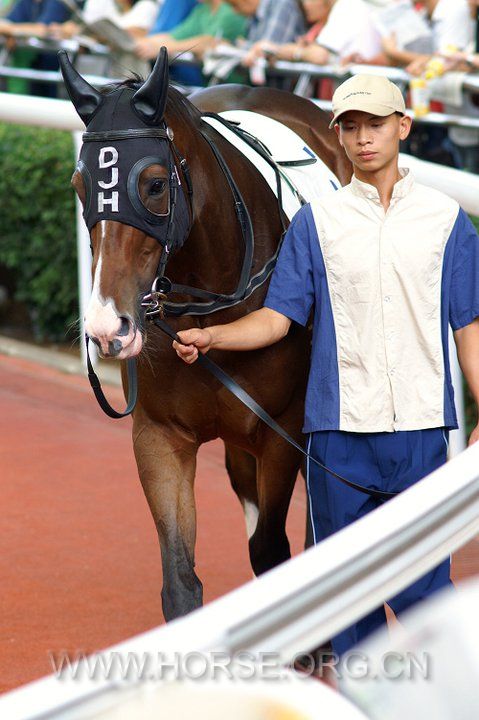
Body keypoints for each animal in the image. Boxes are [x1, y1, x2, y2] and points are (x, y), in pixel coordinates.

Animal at [60, 47, 352, 620]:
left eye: (153, 184)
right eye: (82, 187)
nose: (107, 327)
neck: (210, 308)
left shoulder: (281, 431)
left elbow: (272, 550)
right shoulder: (159, 433)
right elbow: (180, 581)